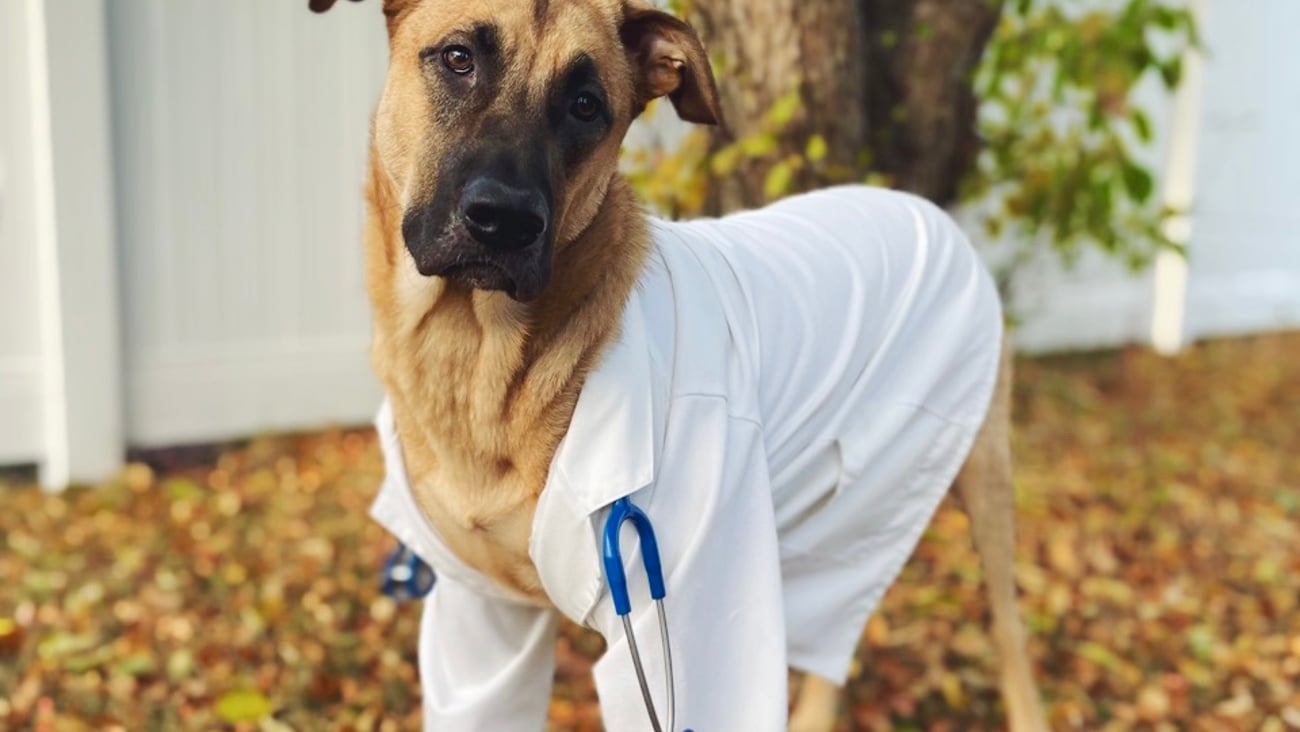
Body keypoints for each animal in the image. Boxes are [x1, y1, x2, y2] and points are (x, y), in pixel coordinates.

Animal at [309, 1, 1050, 728]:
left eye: (587, 105)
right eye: (458, 58)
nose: (505, 221)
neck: (478, 355)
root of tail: (927, 213)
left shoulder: (693, 610)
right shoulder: (480, 618)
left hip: (964, 477)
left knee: (1002, 631)